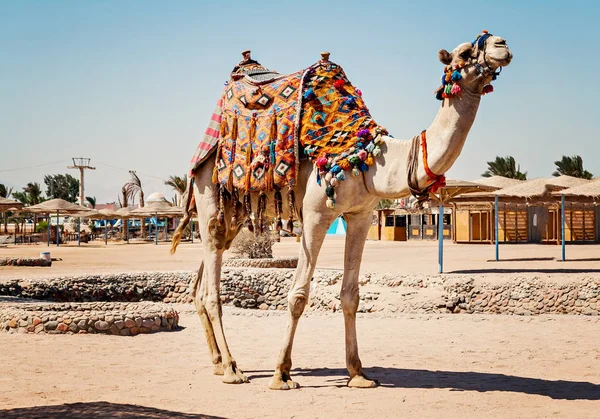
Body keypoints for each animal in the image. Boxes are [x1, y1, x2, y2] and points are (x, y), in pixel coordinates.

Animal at [169, 31, 510, 388]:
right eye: (465, 52)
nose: (501, 45)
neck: (370, 159)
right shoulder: (316, 215)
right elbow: (298, 296)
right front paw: (282, 373)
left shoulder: (360, 215)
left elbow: (350, 295)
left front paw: (358, 373)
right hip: (208, 192)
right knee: (212, 287)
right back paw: (233, 369)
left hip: (233, 211)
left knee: (204, 277)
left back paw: (218, 362)